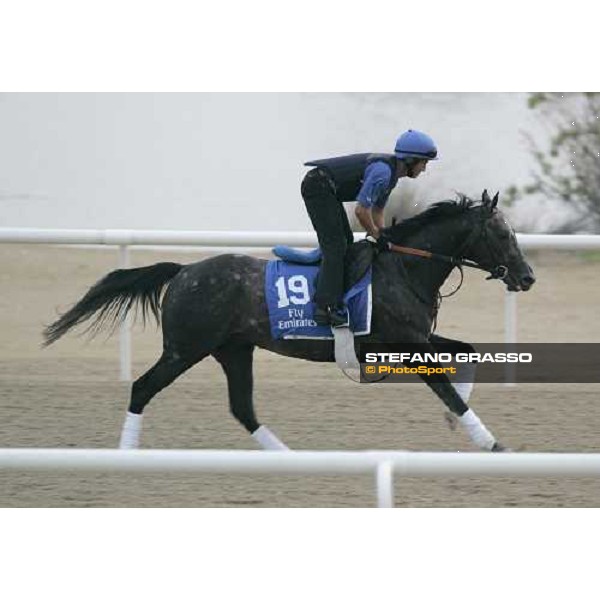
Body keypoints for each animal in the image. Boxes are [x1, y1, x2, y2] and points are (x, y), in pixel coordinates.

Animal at [44, 191, 536, 450]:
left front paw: (458, 423)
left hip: (233, 350)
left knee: (242, 408)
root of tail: (183, 271)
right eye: (501, 233)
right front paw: (491, 442)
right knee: (142, 388)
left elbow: (468, 354)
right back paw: (127, 452)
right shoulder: (409, 343)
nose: (528, 276)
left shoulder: (416, 338)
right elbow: (447, 389)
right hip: (185, 348)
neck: (404, 267)